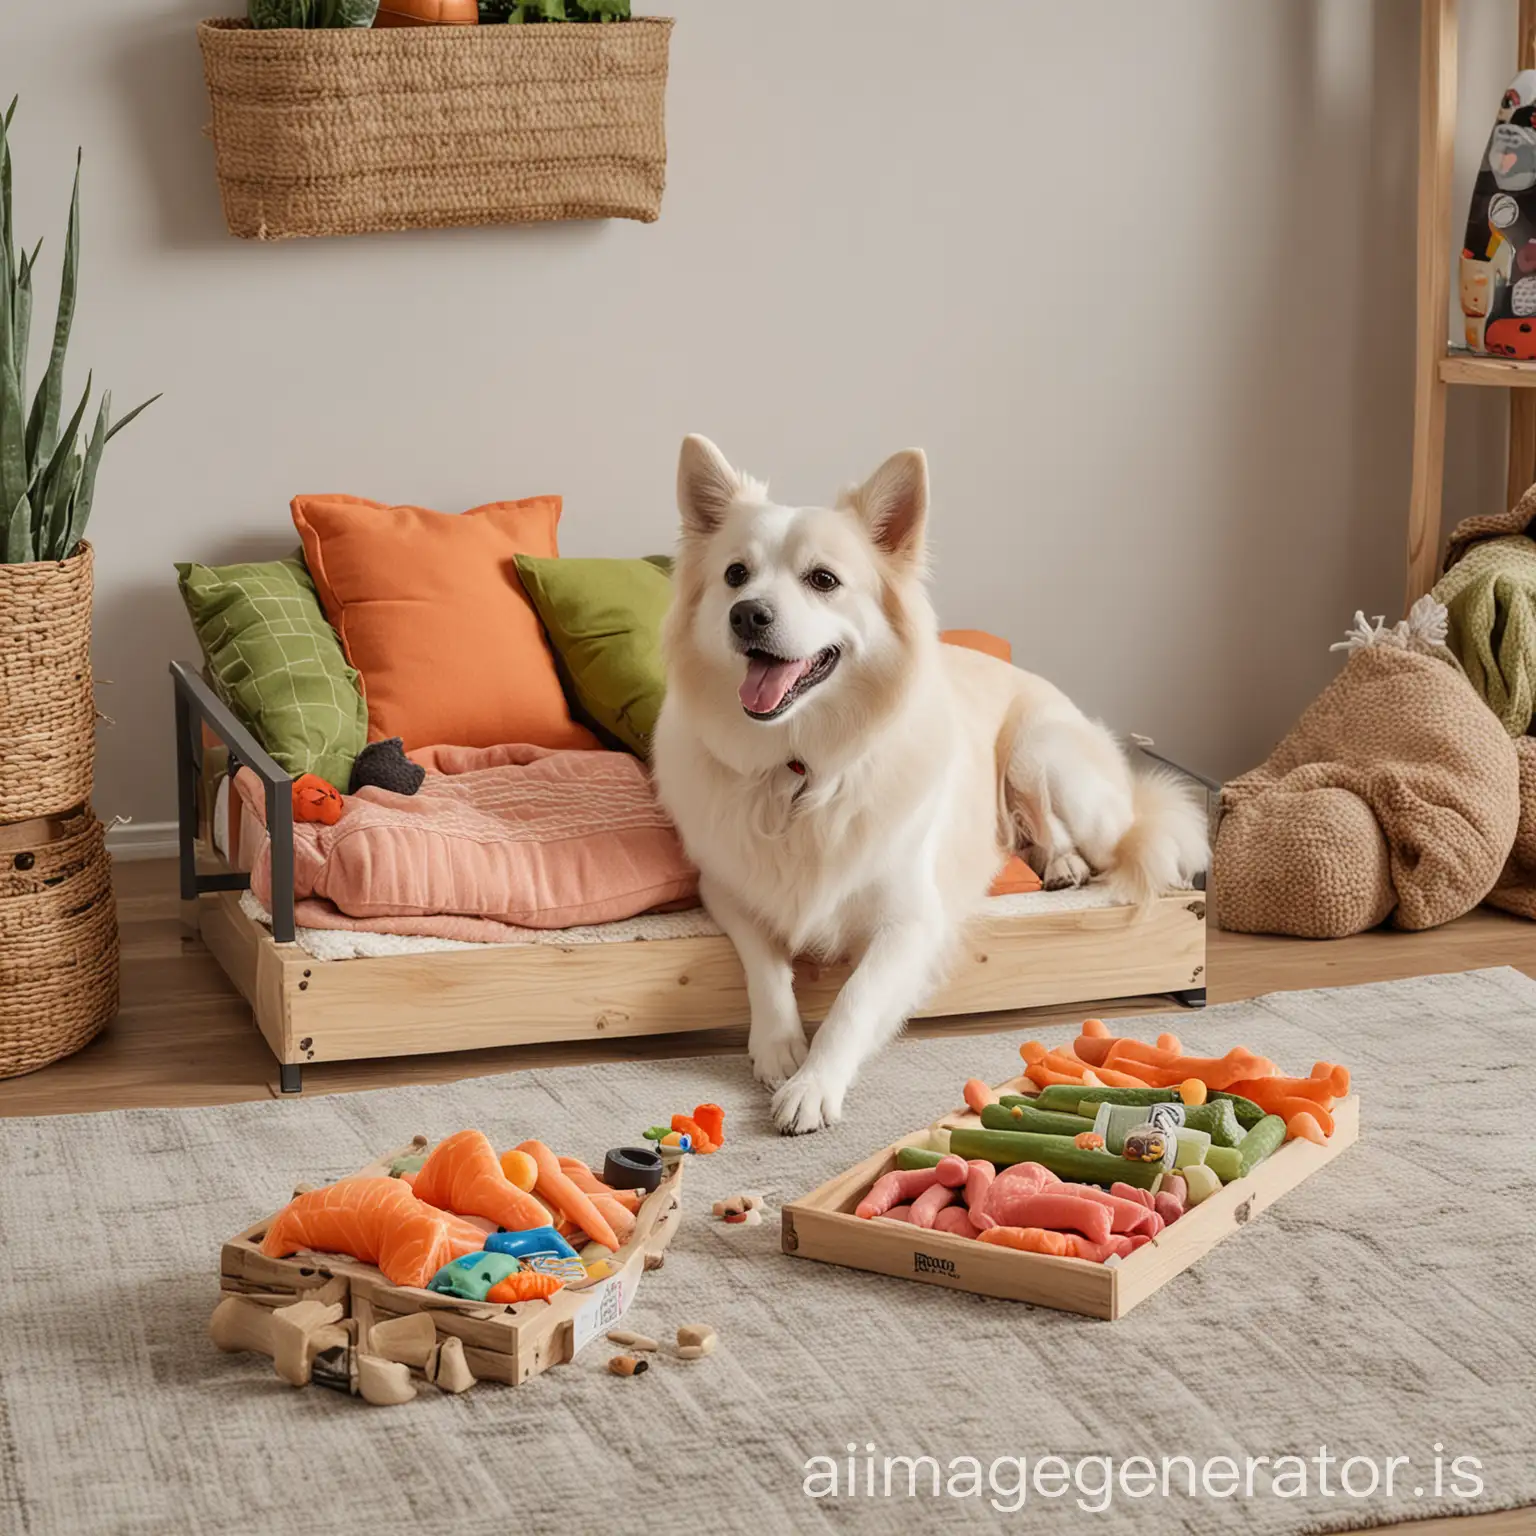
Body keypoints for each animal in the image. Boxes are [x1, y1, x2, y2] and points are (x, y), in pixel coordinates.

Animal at [651, 439, 1210, 1136]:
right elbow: (766, 964)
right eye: (734, 575)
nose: (746, 614)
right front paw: (780, 1047)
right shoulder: (727, 890)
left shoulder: (911, 922)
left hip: (1040, 756)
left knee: (1087, 834)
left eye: (823, 580)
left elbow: (854, 1001)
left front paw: (814, 1085)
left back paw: (1063, 865)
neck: (801, 767)